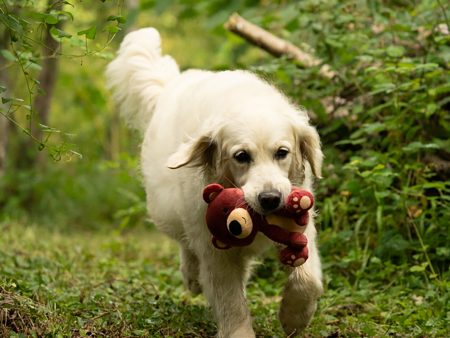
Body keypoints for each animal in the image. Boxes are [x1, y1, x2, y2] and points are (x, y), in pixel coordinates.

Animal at [106, 27, 324, 336]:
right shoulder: (214, 248)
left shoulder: (302, 228)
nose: (270, 199)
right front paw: (241, 331)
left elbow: (307, 280)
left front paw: (294, 316)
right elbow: (230, 300)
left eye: (282, 152)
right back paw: (191, 276)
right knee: (185, 243)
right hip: (167, 209)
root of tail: (173, 83)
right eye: (241, 156)